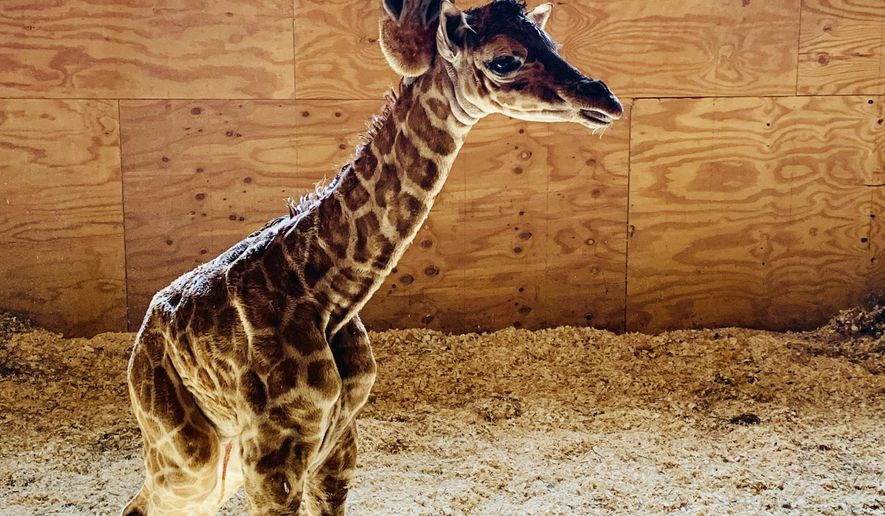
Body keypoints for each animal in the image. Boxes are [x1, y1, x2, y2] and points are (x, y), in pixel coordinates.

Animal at [122, 0, 622, 514]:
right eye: (504, 61)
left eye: (552, 43)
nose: (606, 99)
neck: (326, 294)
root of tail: (138, 347)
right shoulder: (272, 454)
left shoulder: (338, 444)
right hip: (189, 455)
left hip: (218, 465)